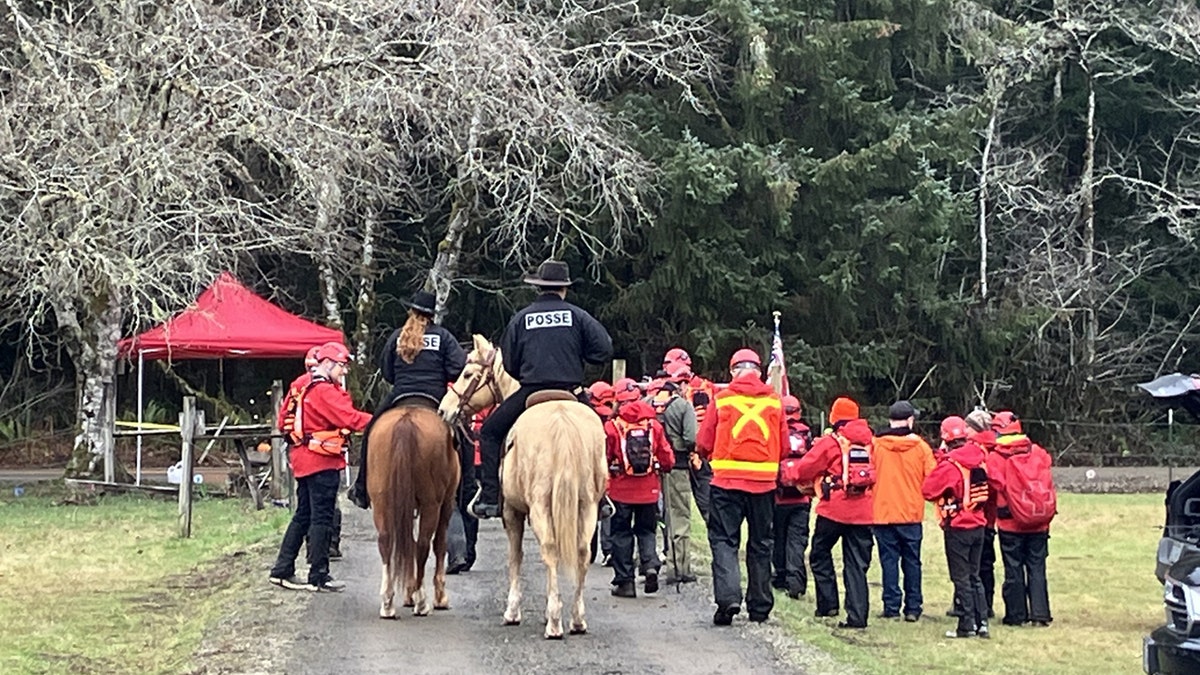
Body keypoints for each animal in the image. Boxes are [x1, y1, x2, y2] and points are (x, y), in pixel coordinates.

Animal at [364, 401, 458, 619]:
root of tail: (405, 421)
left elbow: (408, 545)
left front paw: (409, 593)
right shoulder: (446, 505)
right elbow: (439, 545)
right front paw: (438, 597)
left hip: (381, 502)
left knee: (386, 540)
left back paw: (388, 603)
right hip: (432, 504)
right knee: (423, 544)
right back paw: (422, 603)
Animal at [439, 333, 609, 638]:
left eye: (467, 374)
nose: (444, 410)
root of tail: (561, 420)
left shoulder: (512, 513)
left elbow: (515, 558)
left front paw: (513, 611)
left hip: (541, 506)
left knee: (551, 550)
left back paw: (554, 624)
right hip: (587, 505)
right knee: (581, 551)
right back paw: (576, 619)